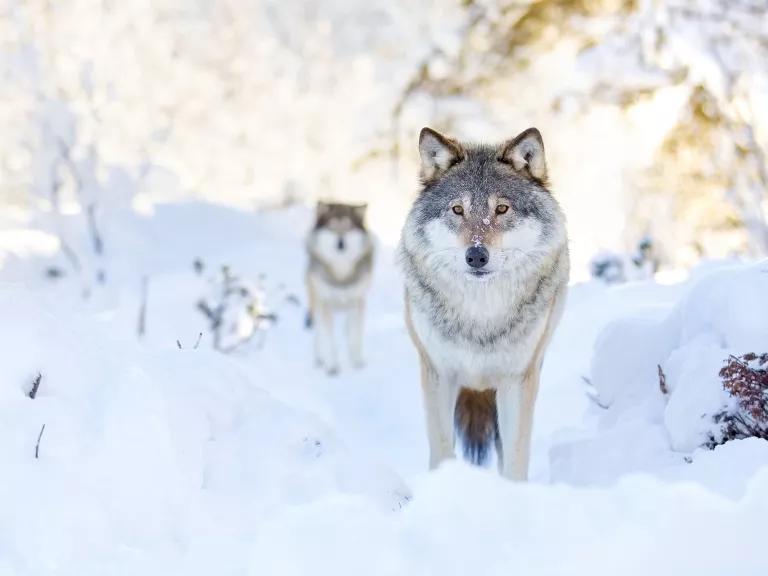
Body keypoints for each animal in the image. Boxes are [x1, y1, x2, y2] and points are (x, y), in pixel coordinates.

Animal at [304, 201, 374, 374]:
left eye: (348, 228)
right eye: (332, 227)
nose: (341, 244)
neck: (341, 274)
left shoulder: (358, 302)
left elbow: (354, 336)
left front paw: (357, 362)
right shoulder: (326, 303)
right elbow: (329, 338)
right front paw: (332, 366)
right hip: (316, 302)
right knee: (319, 333)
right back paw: (319, 358)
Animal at [400, 127, 568, 482]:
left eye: (501, 209)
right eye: (457, 210)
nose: (476, 255)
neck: (480, 315)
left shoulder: (517, 378)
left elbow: (515, 457)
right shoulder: (438, 373)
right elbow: (442, 448)